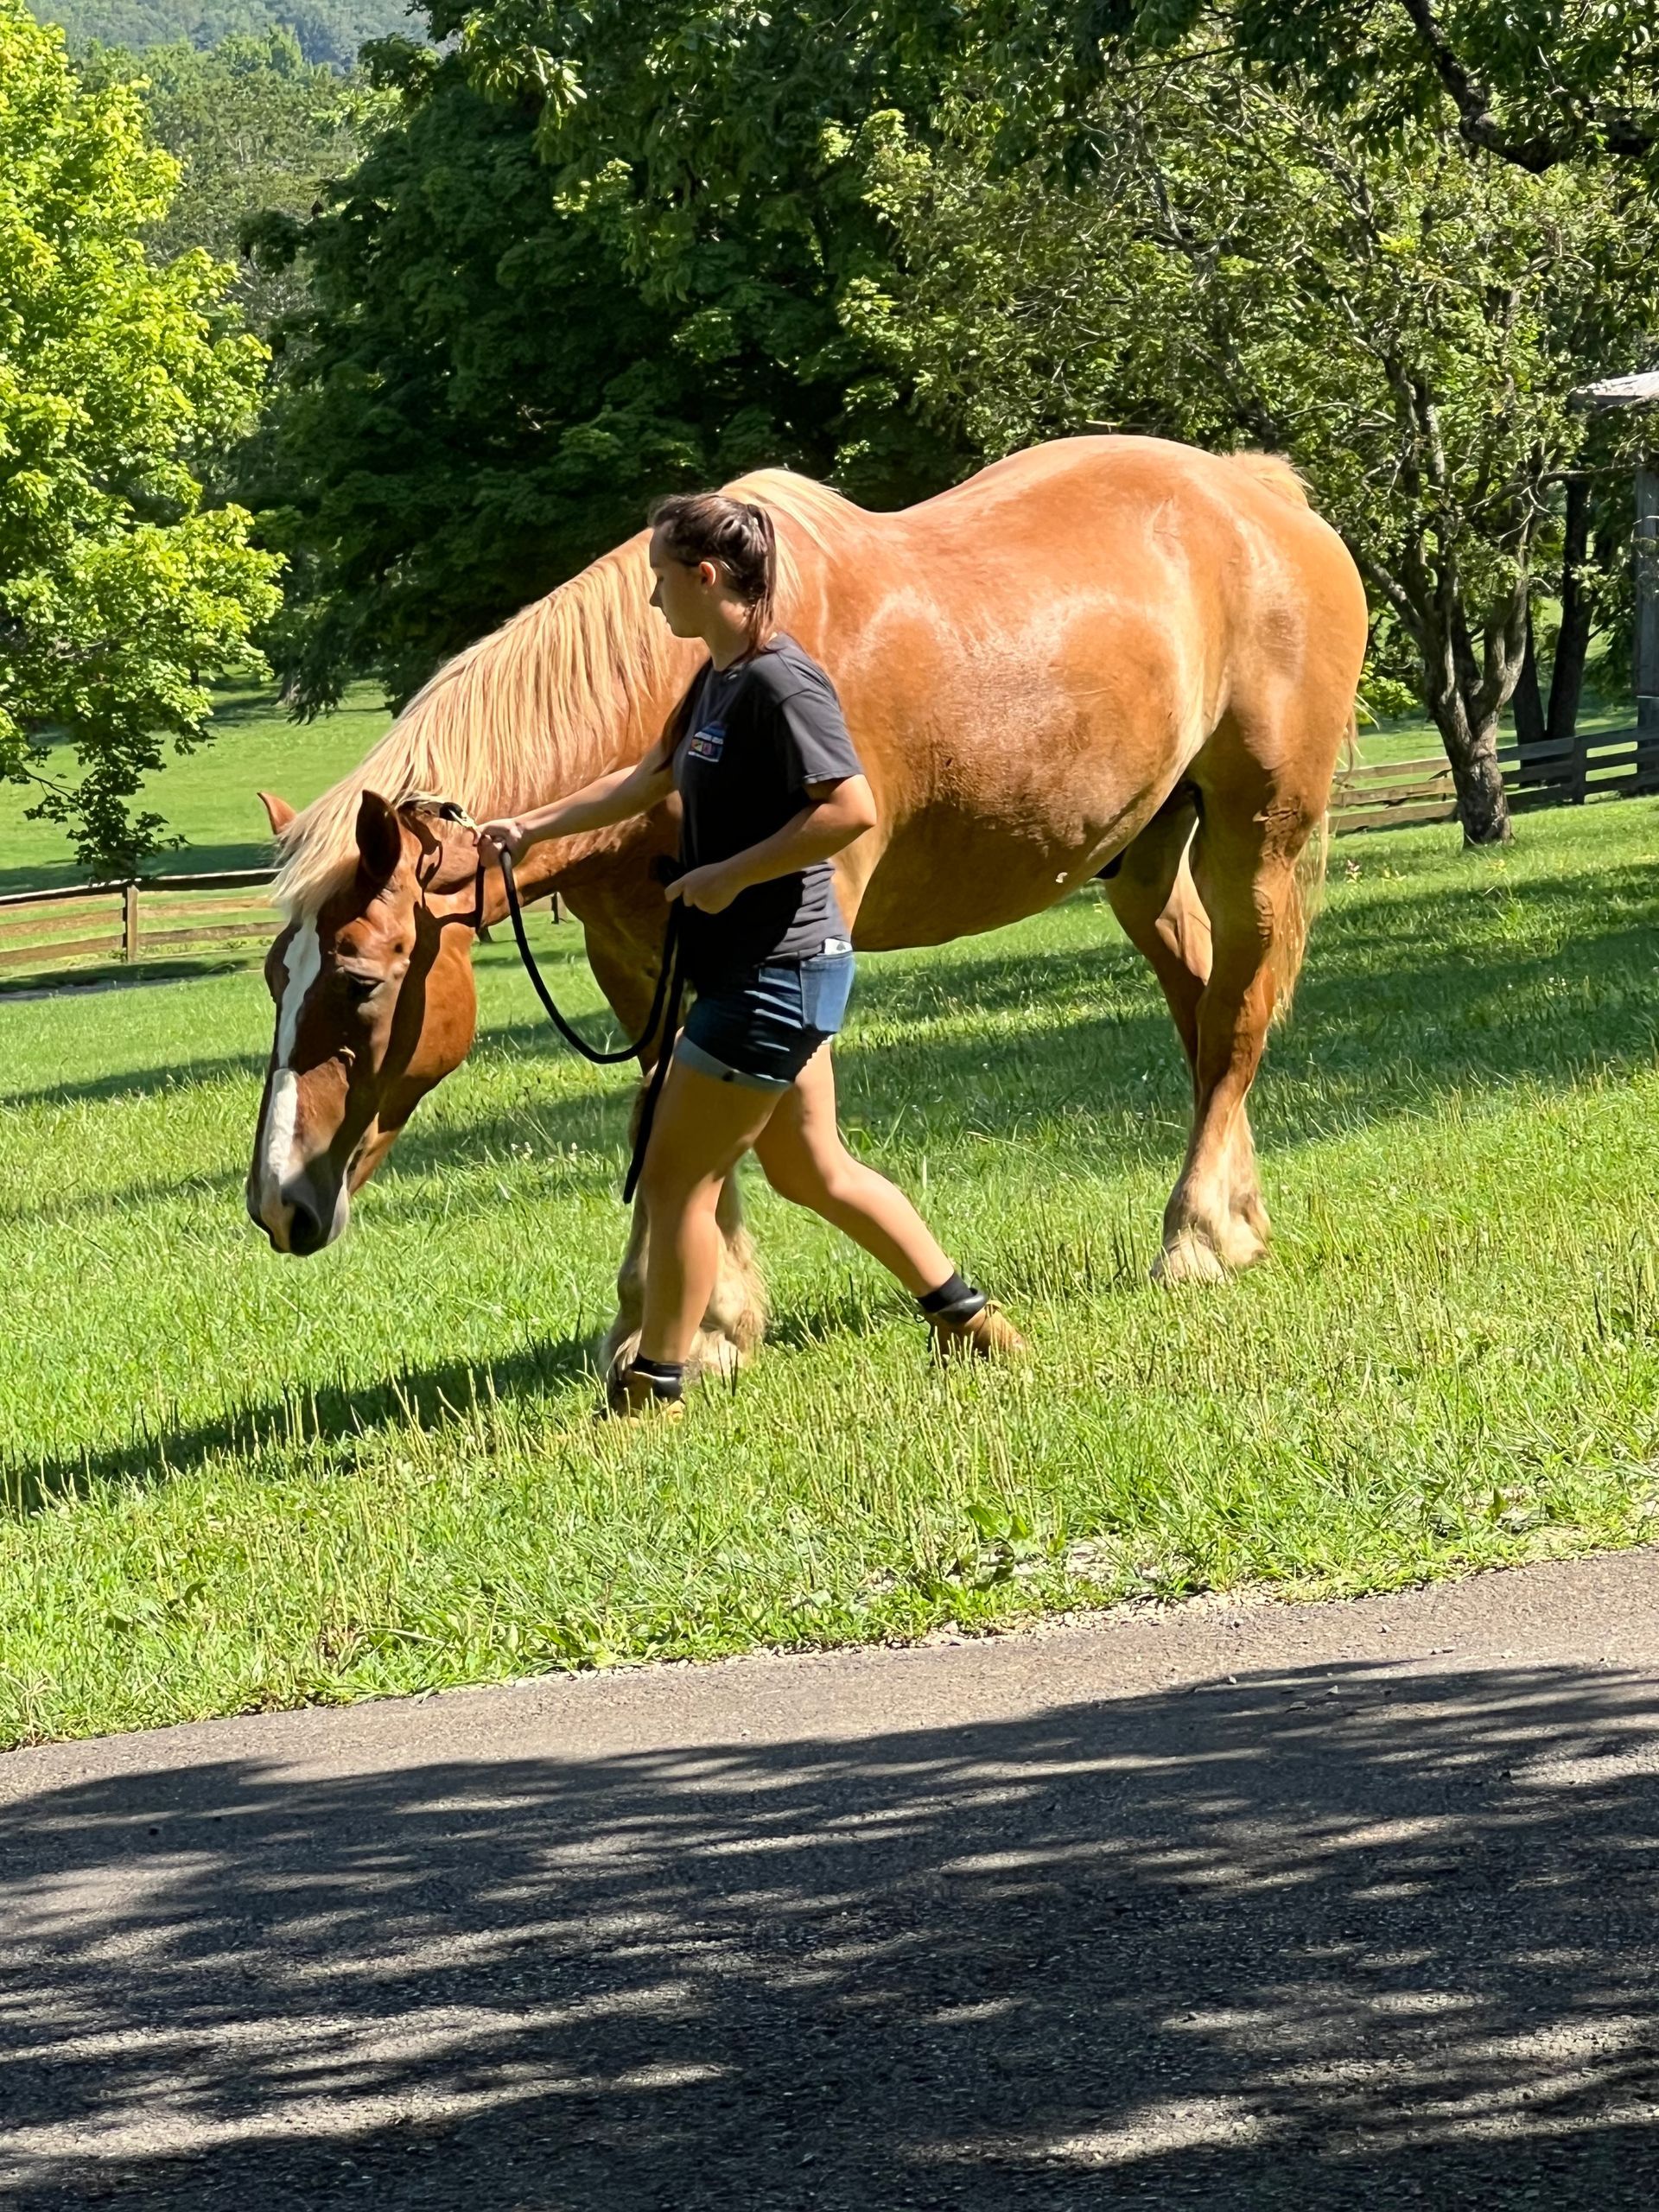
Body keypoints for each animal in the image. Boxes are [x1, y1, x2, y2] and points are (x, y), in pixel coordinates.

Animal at [248, 435, 1368, 1381]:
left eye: (360, 979)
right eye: (273, 979)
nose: (278, 1204)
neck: (680, 682)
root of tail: (1259, 495)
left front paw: (694, 1328)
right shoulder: (641, 959)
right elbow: (666, 1116)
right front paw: (687, 1324)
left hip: (1255, 840)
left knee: (1235, 1018)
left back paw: (1197, 1235)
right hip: (1142, 859)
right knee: (1201, 1015)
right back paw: (1239, 1220)